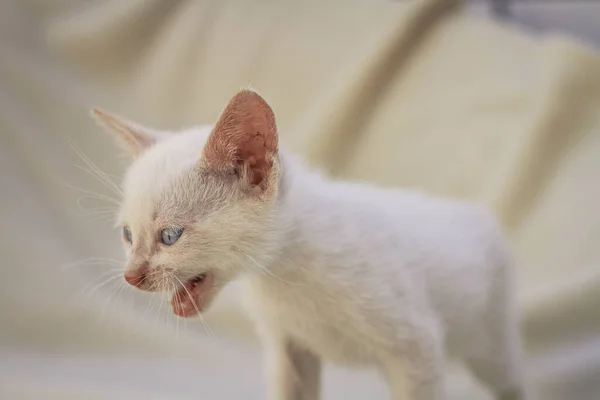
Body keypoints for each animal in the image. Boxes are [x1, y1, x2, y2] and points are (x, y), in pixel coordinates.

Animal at [91, 90, 528, 400]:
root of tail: (476, 212)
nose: (131, 276)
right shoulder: (290, 351)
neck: (284, 276)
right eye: (127, 235)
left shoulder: (417, 346)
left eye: (170, 236)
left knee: (512, 380)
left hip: (489, 343)